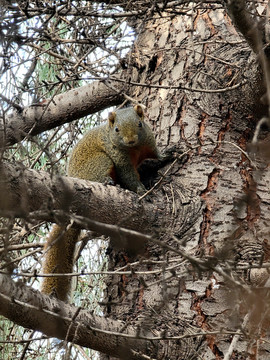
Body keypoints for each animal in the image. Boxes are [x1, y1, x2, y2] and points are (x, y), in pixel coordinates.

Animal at [41, 105, 165, 300]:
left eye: (140, 124)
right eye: (117, 130)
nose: (130, 140)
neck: (136, 149)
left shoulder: (149, 142)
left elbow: (157, 155)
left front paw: (170, 153)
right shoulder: (119, 158)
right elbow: (129, 176)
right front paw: (141, 191)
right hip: (101, 161)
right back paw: (109, 182)